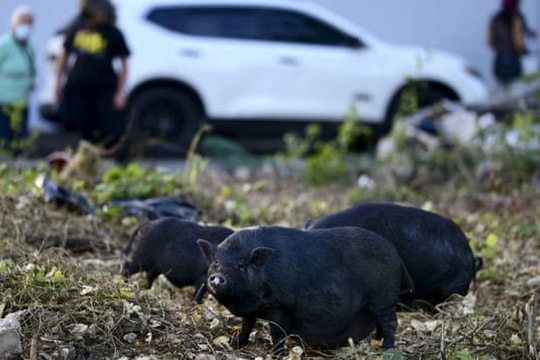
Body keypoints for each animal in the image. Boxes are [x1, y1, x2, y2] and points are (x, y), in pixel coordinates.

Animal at [197, 226, 400, 350]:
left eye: (241, 265)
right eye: (216, 262)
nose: (218, 278)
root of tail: (393, 251)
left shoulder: (279, 307)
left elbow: (277, 333)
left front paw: (275, 354)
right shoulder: (251, 310)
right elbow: (247, 325)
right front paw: (236, 344)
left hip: (383, 298)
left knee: (390, 323)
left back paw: (386, 349)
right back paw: (376, 341)